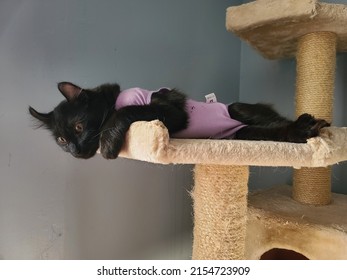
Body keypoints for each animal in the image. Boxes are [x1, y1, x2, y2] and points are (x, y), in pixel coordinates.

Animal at [28, 82, 330, 159]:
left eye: (79, 127)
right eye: (61, 140)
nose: (75, 152)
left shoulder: (169, 110)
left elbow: (124, 112)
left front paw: (109, 141)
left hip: (237, 110)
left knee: (276, 120)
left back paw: (306, 125)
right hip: (245, 135)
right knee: (271, 130)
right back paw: (302, 131)